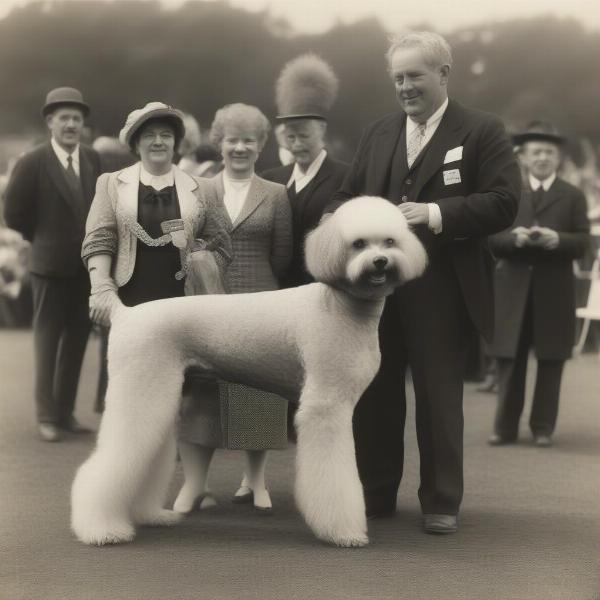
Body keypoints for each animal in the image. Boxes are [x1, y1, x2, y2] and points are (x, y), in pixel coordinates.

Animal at [71, 196, 426, 548]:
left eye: (390, 241)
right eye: (358, 244)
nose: (380, 262)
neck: (338, 304)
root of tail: (125, 314)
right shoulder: (326, 406)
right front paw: (343, 532)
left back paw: (149, 516)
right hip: (140, 388)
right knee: (106, 464)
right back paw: (102, 530)